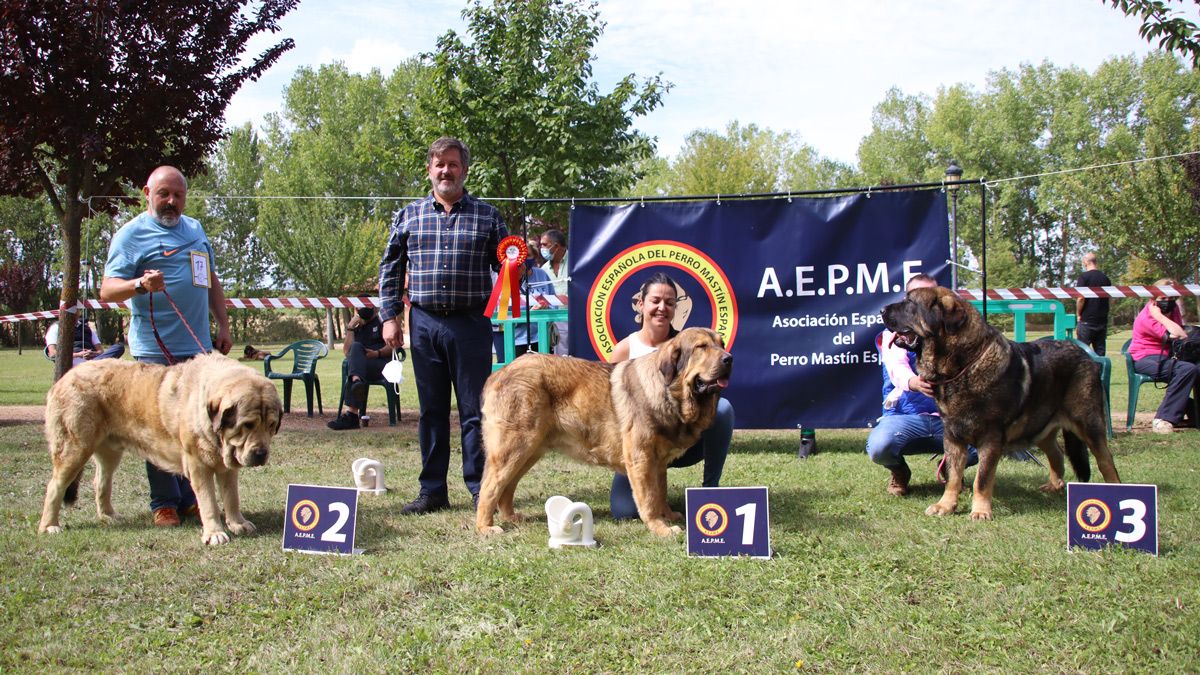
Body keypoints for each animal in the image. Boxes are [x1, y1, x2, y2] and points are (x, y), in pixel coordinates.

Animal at [38, 355, 283, 542]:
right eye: (247, 425)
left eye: (271, 426)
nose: (261, 453)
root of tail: (64, 378)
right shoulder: (198, 466)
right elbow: (209, 503)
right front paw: (214, 533)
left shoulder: (227, 467)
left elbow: (232, 497)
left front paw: (237, 523)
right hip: (75, 449)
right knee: (55, 486)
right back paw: (49, 525)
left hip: (110, 452)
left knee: (101, 481)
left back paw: (108, 516)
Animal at [477, 326, 729, 535]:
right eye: (701, 347)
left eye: (722, 343)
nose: (729, 358)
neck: (668, 391)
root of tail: (498, 374)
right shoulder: (642, 458)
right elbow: (649, 498)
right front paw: (660, 527)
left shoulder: (658, 462)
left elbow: (660, 493)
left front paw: (666, 516)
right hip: (515, 447)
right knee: (489, 487)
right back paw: (485, 527)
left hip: (529, 452)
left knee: (507, 487)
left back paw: (511, 517)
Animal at [878, 285, 1118, 516]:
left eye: (910, 302)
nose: (882, 310)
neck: (965, 364)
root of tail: (1084, 353)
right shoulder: (953, 435)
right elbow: (953, 475)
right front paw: (945, 506)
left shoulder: (990, 437)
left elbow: (982, 479)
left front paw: (980, 511)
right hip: (1038, 426)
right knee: (1056, 453)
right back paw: (1054, 486)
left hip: (1088, 423)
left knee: (1106, 461)